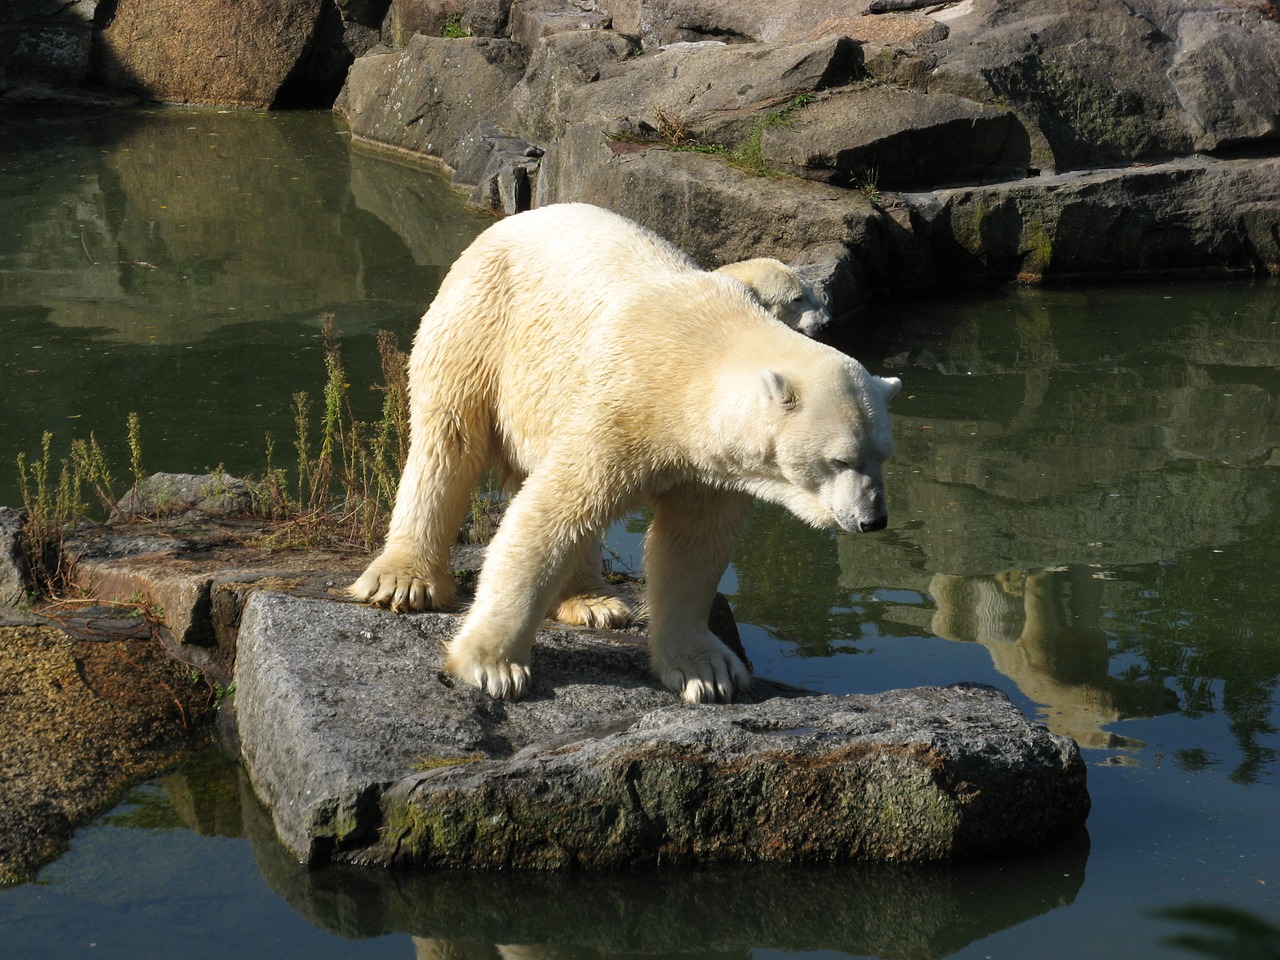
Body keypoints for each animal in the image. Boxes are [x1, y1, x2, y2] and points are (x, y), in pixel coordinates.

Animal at [345, 203, 896, 701]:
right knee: (448, 441)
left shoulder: (710, 463)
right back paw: (402, 580)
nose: (873, 520)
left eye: (883, 455)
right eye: (841, 460)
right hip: (480, 322)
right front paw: (492, 666)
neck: (700, 353)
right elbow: (550, 513)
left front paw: (706, 670)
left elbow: (692, 544)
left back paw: (594, 602)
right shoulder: (622, 403)